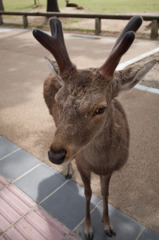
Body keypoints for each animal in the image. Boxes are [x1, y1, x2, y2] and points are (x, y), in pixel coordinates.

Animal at [33, 15, 156, 239]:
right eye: (58, 100)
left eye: (100, 108)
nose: (55, 154)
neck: (101, 163)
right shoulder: (82, 163)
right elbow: (88, 192)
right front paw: (88, 229)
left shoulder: (111, 170)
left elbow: (106, 193)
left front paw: (108, 226)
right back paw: (67, 171)